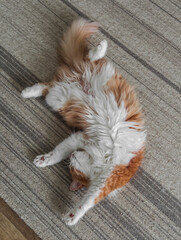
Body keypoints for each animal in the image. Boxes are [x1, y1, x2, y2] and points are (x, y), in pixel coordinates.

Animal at [21, 18, 146, 225]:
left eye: (73, 169)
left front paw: (72, 217)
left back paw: (27, 92)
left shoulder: (105, 176)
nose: (72, 157)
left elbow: (87, 201)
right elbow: (57, 153)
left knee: (46, 86)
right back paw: (101, 47)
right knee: (90, 56)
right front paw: (45, 159)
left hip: (58, 98)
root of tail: (76, 76)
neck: (101, 159)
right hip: (92, 78)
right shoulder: (83, 141)